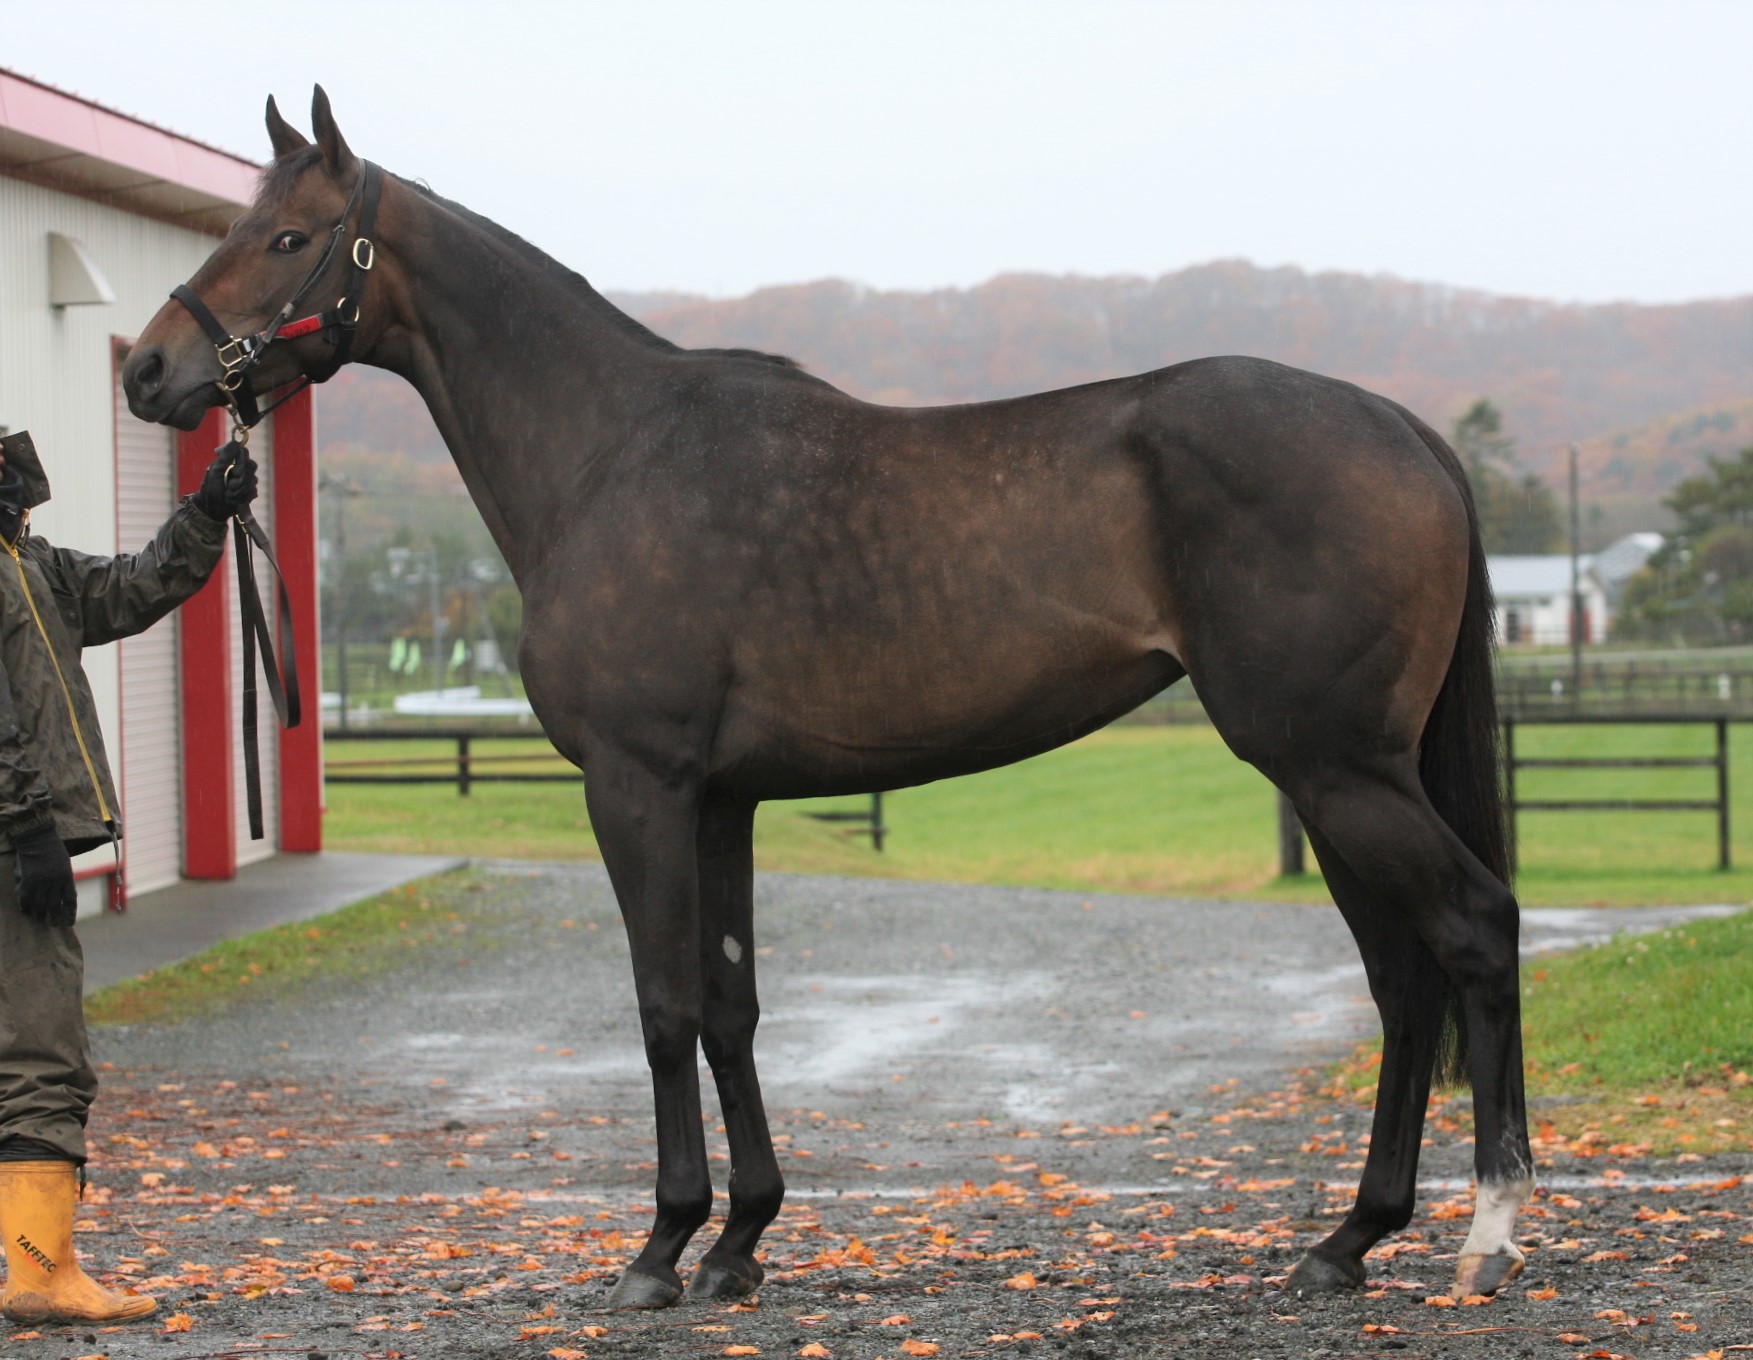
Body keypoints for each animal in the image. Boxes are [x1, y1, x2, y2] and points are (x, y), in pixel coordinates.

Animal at [123, 87, 1533, 1310]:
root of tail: (1408, 433)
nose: (147, 368)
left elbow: (663, 1004)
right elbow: (731, 1006)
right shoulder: (722, 800)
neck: (607, 453)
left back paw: (1485, 1232)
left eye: (288, 236)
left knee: (1470, 930)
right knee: (1401, 979)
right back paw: (1347, 1239)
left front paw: (660, 1248)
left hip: (1335, 767)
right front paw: (739, 1240)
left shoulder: (637, 786)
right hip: (1338, 775)